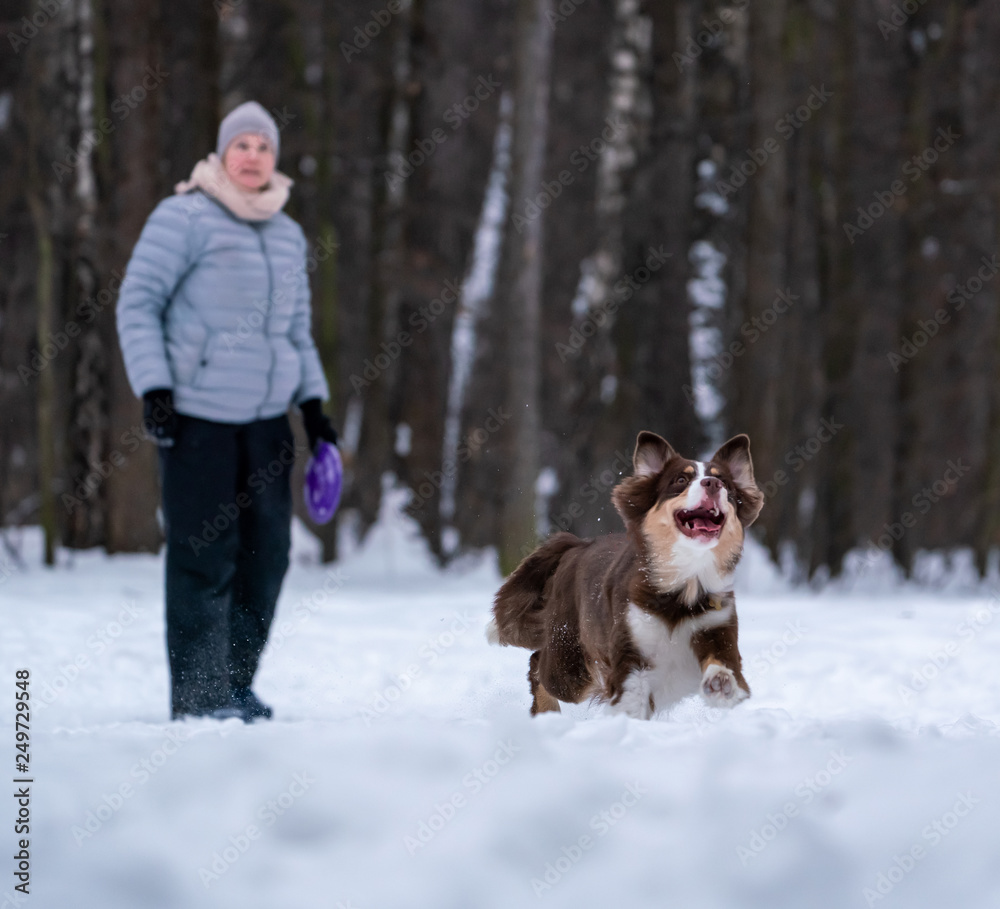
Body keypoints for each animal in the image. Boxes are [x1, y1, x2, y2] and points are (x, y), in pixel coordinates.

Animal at [488, 430, 760, 720]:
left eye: (725, 483)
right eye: (681, 480)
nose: (713, 484)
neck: (683, 583)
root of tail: (577, 545)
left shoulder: (717, 626)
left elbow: (725, 663)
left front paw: (722, 684)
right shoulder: (630, 643)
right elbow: (630, 690)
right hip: (571, 661)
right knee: (539, 665)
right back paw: (546, 714)